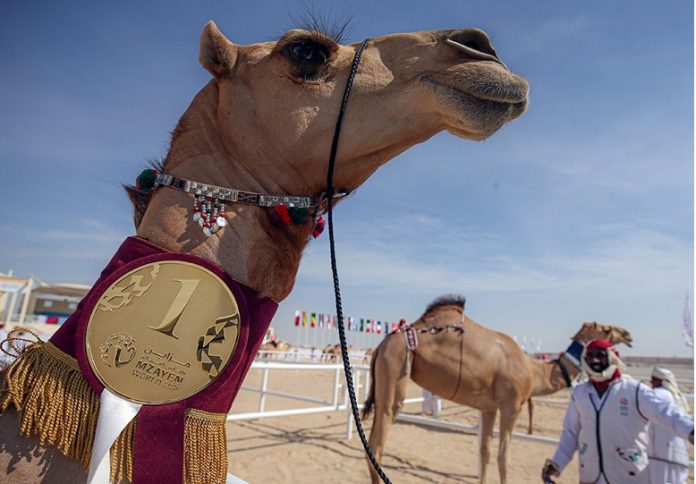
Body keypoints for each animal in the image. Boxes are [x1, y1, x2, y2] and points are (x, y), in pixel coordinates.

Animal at [362, 296, 634, 484]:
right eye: (606, 329)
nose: (628, 334)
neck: (533, 371)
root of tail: (381, 346)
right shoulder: (511, 405)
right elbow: (504, 458)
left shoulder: (488, 408)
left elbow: (485, 453)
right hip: (394, 368)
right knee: (378, 444)